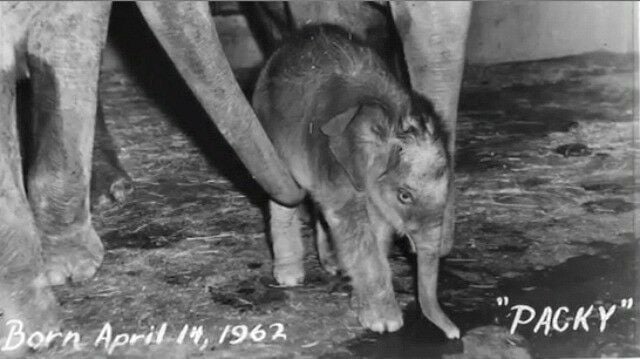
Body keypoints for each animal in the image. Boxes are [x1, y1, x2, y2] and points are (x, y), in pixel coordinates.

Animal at [252, 24, 458, 338]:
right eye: (404, 195)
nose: (454, 334)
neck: (392, 113)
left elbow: (379, 227)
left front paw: (360, 306)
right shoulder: (334, 160)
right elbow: (354, 225)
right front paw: (385, 324)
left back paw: (333, 265)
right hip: (269, 132)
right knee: (282, 197)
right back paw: (289, 277)